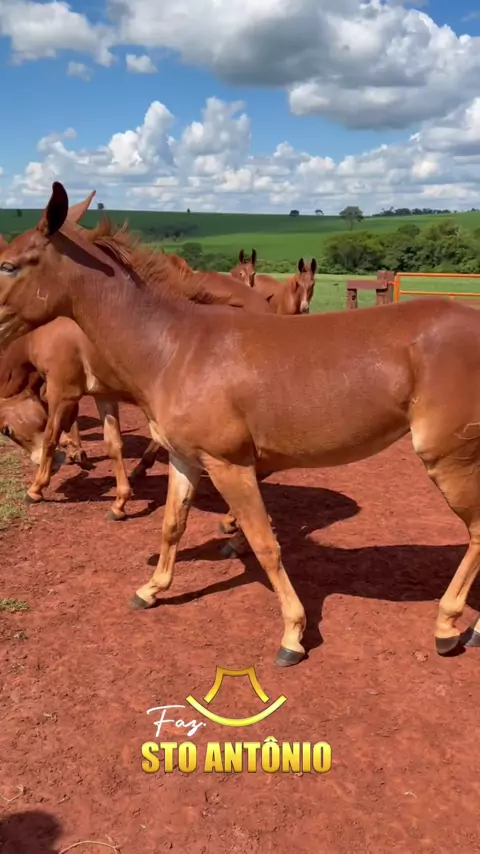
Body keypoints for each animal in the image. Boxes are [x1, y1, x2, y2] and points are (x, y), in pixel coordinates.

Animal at [2, 180, 480, 668]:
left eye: (8, 265)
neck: (174, 347)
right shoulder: (185, 460)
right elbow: (172, 524)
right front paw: (152, 589)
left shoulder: (230, 465)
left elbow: (266, 545)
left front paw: (292, 634)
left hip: (450, 459)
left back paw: (447, 626)